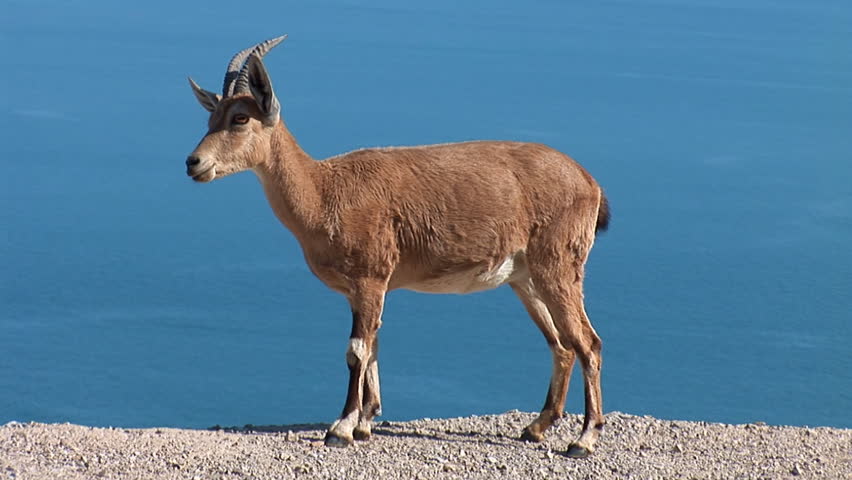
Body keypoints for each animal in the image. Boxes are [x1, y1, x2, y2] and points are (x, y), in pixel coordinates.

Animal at [186, 36, 611, 458]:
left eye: (240, 118)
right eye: (211, 118)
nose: (194, 162)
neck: (323, 194)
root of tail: (590, 183)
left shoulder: (371, 276)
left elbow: (356, 349)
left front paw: (341, 428)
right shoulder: (362, 289)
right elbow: (372, 343)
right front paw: (365, 423)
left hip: (559, 266)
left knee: (588, 342)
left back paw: (584, 438)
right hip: (525, 278)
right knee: (561, 344)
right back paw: (537, 427)